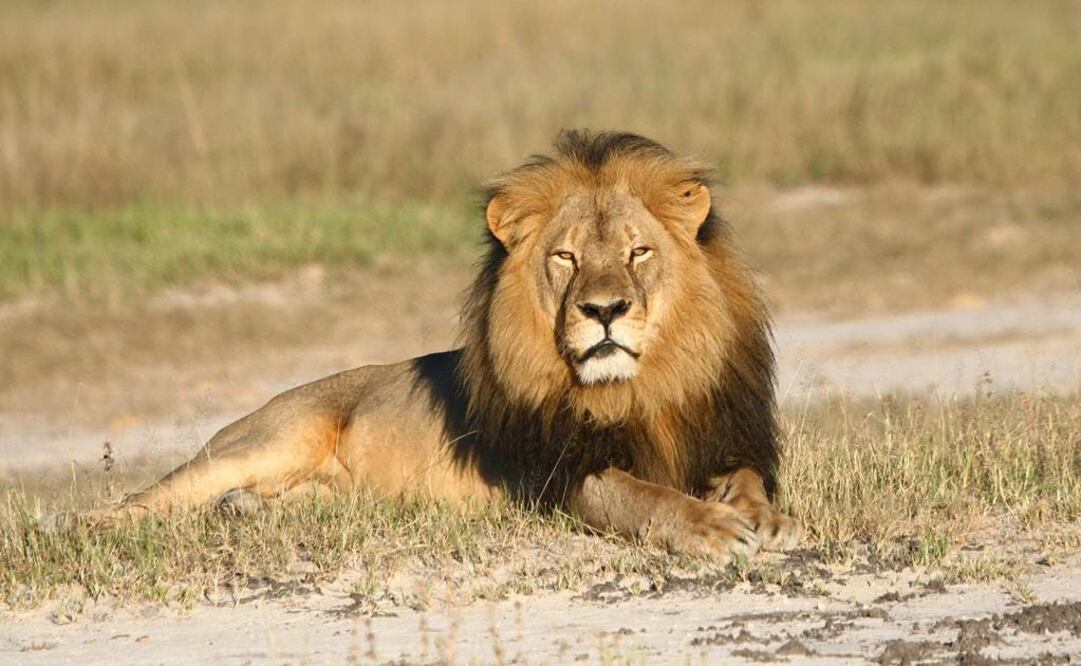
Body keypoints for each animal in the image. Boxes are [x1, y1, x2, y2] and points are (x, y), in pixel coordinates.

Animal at [92, 130, 800, 559]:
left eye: (639, 252)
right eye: (567, 258)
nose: (604, 310)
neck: (639, 389)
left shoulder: (723, 436)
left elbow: (746, 479)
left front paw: (766, 518)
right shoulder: (561, 475)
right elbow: (644, 496)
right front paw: (711, 527)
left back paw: (242, 512)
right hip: (268, 439)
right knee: (145, 498)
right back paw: (92, 528)